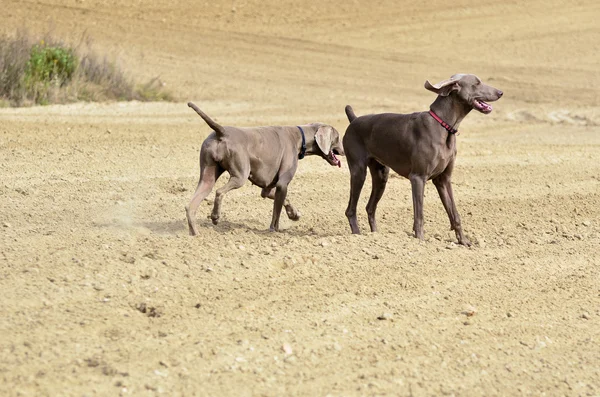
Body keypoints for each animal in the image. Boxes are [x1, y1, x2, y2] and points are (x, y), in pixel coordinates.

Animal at [185, 100, 344, 235]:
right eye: (337, 137)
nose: (343, 151)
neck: (300, 137)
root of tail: (222, 132)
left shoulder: (268, 187)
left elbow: (280, 199)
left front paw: (294, 214)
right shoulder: (282, 184)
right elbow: (276, 212)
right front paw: (275, 230)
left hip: (207, 176)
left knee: (191, 206)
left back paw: (195, 234)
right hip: (240, 175)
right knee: (219, 192)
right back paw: (215, 217)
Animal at [342, 72, 502, 243]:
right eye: (477, 83)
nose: (500, 92)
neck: (443, 125)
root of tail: (354, 119)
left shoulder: (443, 180)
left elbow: (454, 214)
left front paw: (464, 241)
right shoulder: (418, 177)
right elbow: (419, 215)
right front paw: (420, 241)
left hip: (381, 175)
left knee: (370, 207)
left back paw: (375, 235)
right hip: (358, 171)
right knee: (350, 209)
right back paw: (357, 235)